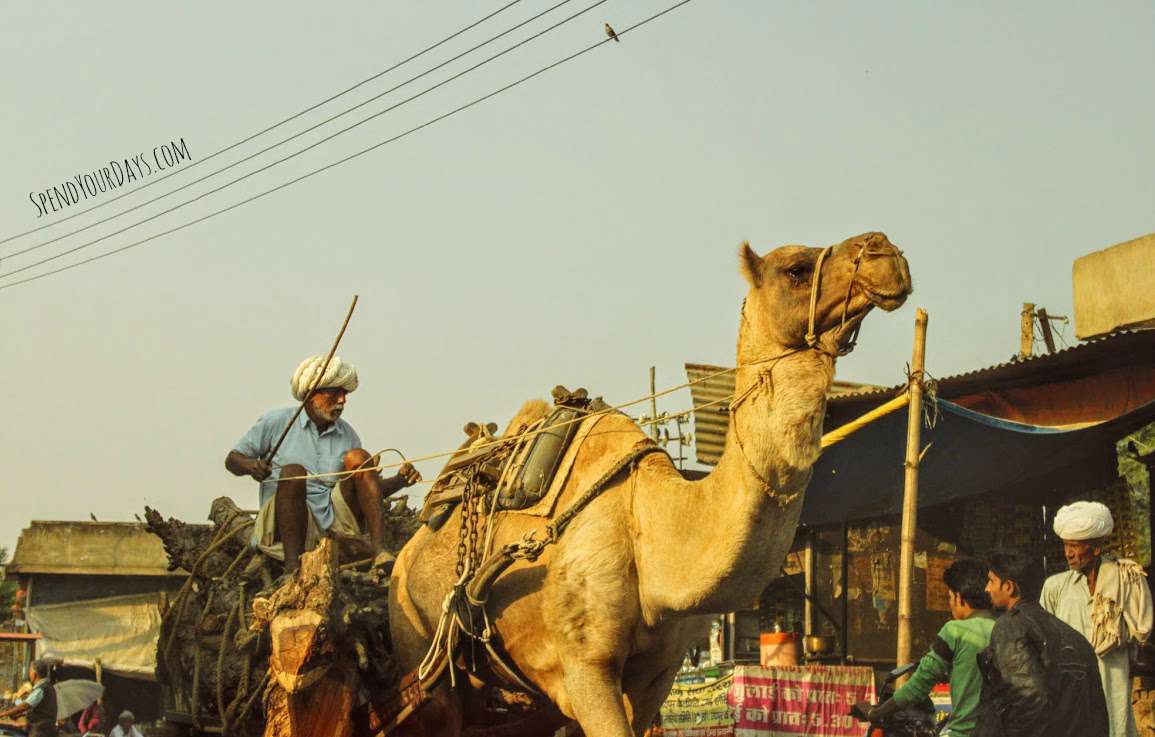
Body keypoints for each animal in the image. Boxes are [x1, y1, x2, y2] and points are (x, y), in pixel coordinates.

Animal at [388, 232, 910, 737]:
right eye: (796, 269)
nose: (885, 251)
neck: (652, 525)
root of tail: (405, 555)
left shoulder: (658, 673)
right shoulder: (585, 664)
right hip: (419, 650)